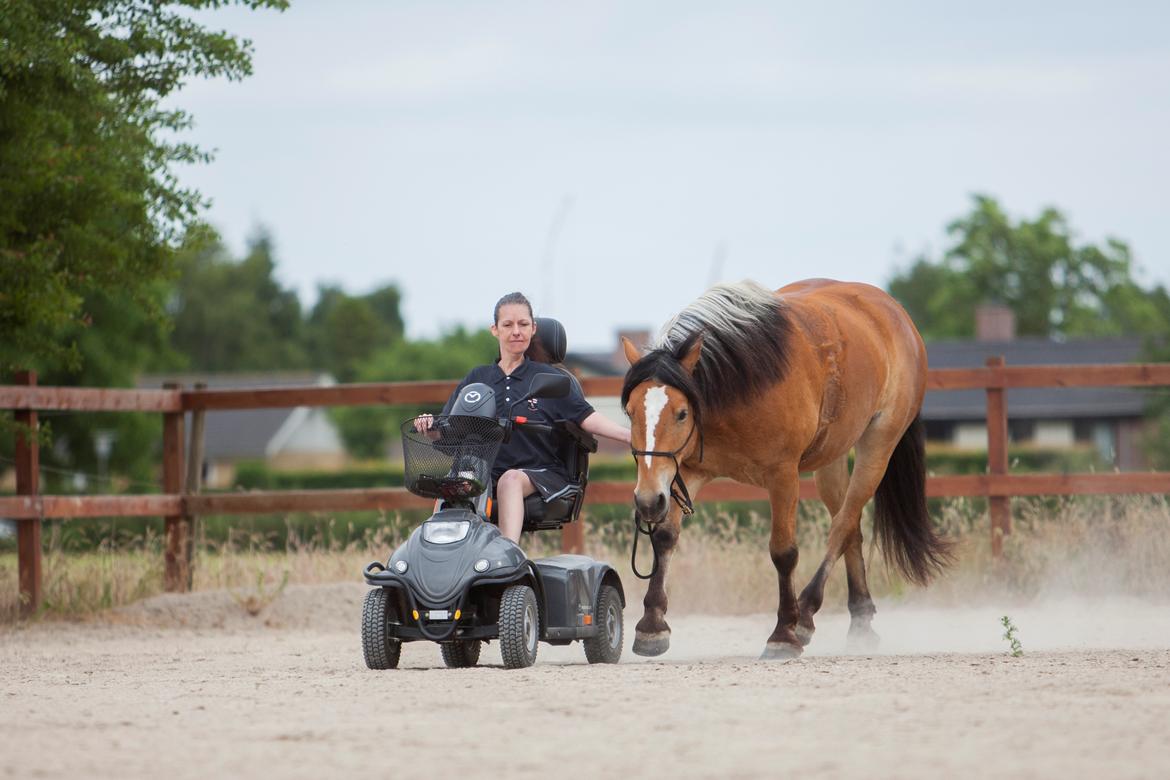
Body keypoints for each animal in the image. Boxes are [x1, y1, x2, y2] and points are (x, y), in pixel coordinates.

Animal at [622, 280, 950, 659]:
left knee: (842, 526)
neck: (739, 382)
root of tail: (893, 311)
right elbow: (664, 537)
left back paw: (805, 615)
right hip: (831, 458)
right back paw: (860, 620)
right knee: (850, 527)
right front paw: (651, 626)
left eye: (681, 413)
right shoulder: (684, 471)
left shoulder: (783, 476)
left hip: (878, 446)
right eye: (630, 412)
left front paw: (783, 633)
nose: (647, 501)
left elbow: (783, 552)